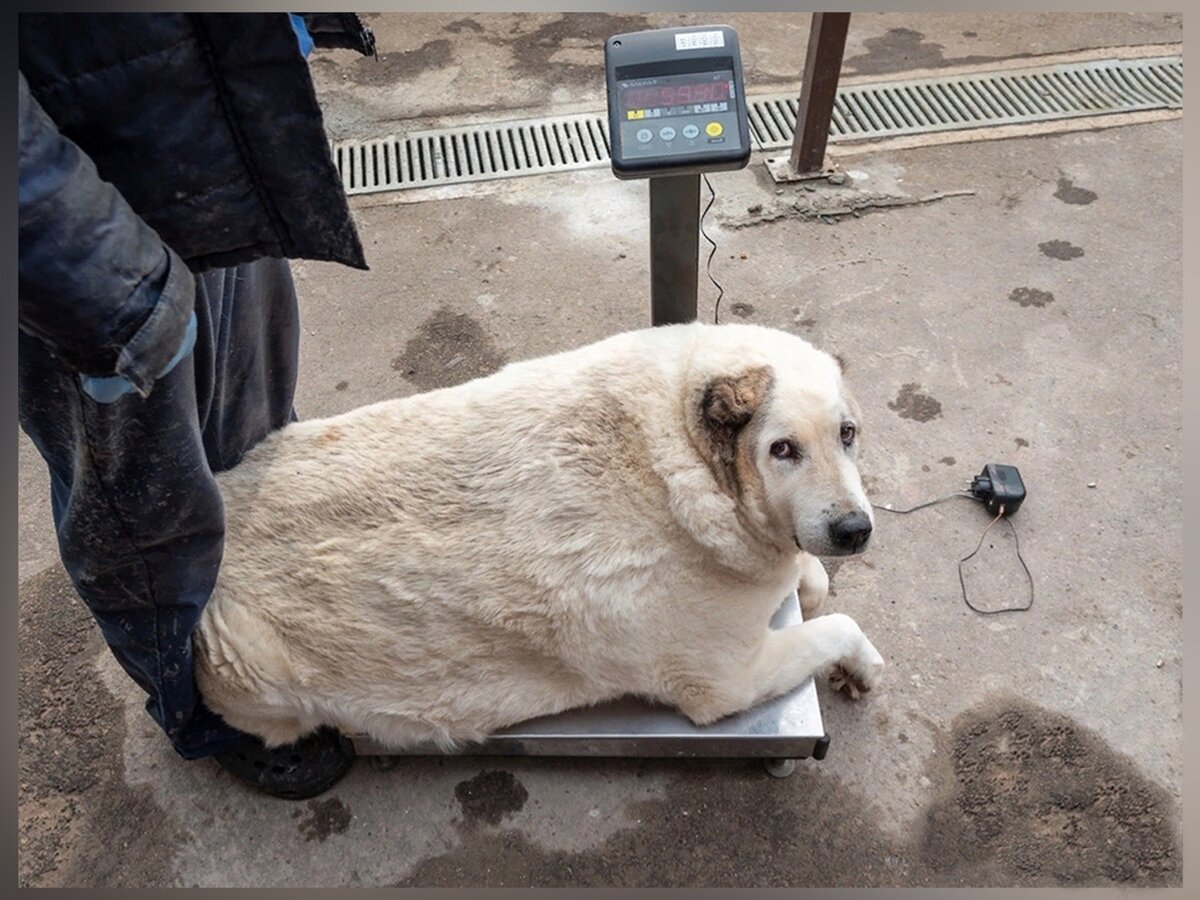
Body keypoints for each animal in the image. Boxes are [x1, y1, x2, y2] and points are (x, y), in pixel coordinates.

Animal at [196, 321, 888, 748]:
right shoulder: (723, 680)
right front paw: (862, 664)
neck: (685, 465)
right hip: (253, 667)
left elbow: (813, 581)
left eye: (848, 434)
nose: (854, 529)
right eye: (782, 449)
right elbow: (838, 623)